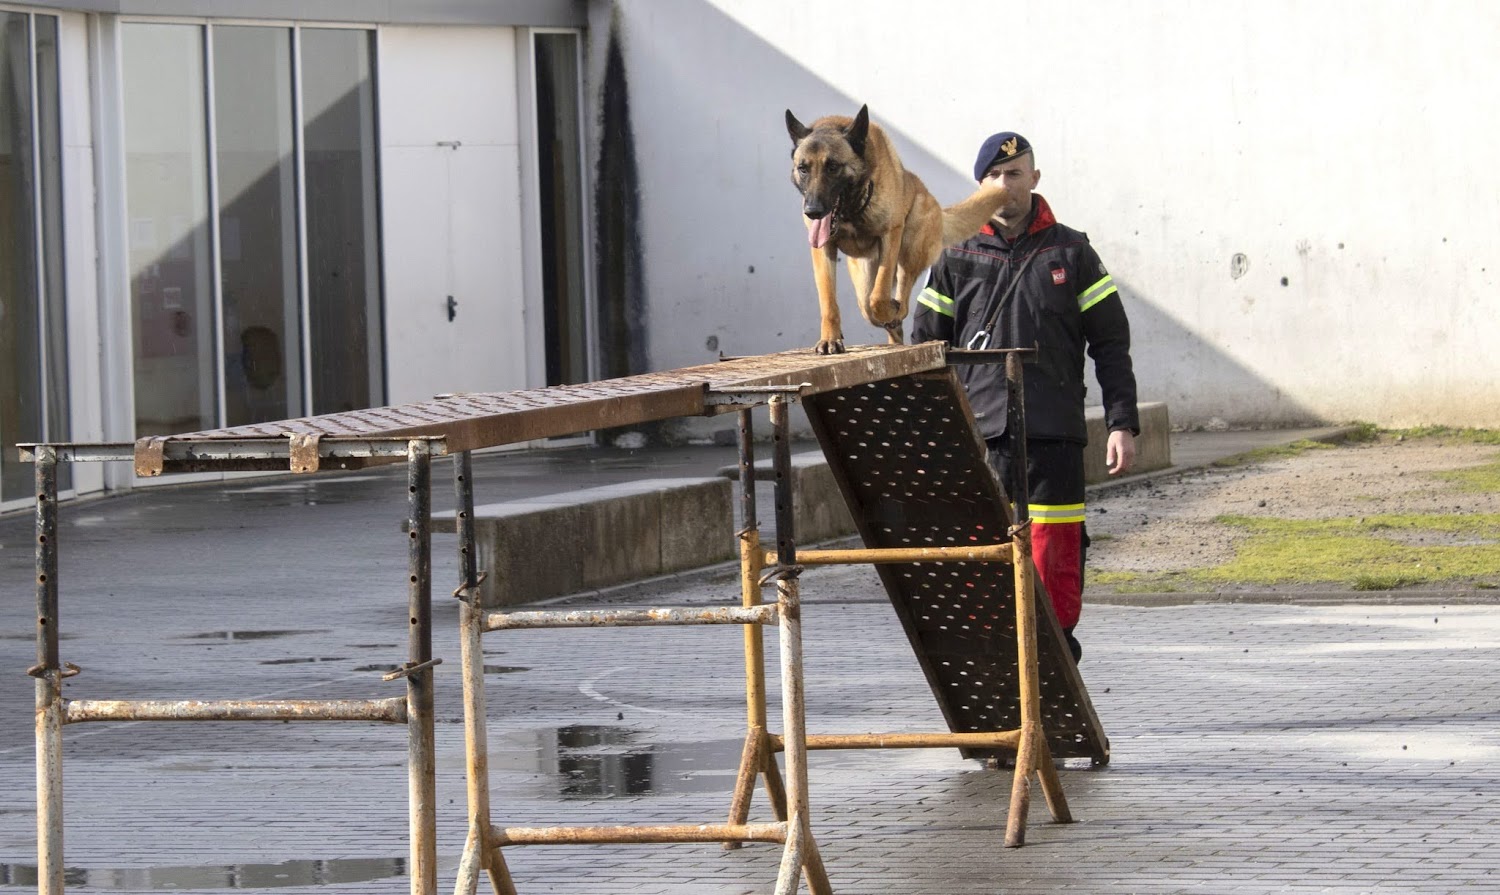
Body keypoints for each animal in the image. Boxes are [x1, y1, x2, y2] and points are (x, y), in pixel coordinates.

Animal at [786, 104, 1008, 352]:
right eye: (803, 169)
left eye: (832, 167)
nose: (812, 211)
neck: (853, 210)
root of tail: (939, 210)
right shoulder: (823, 249)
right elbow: (828, 301)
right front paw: (830, 339)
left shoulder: (891, 234)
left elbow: (879, 296)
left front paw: (889, 309)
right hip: (864, 277)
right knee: (870, 308)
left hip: (910, 247)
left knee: (899, 297)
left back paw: (896, 311)